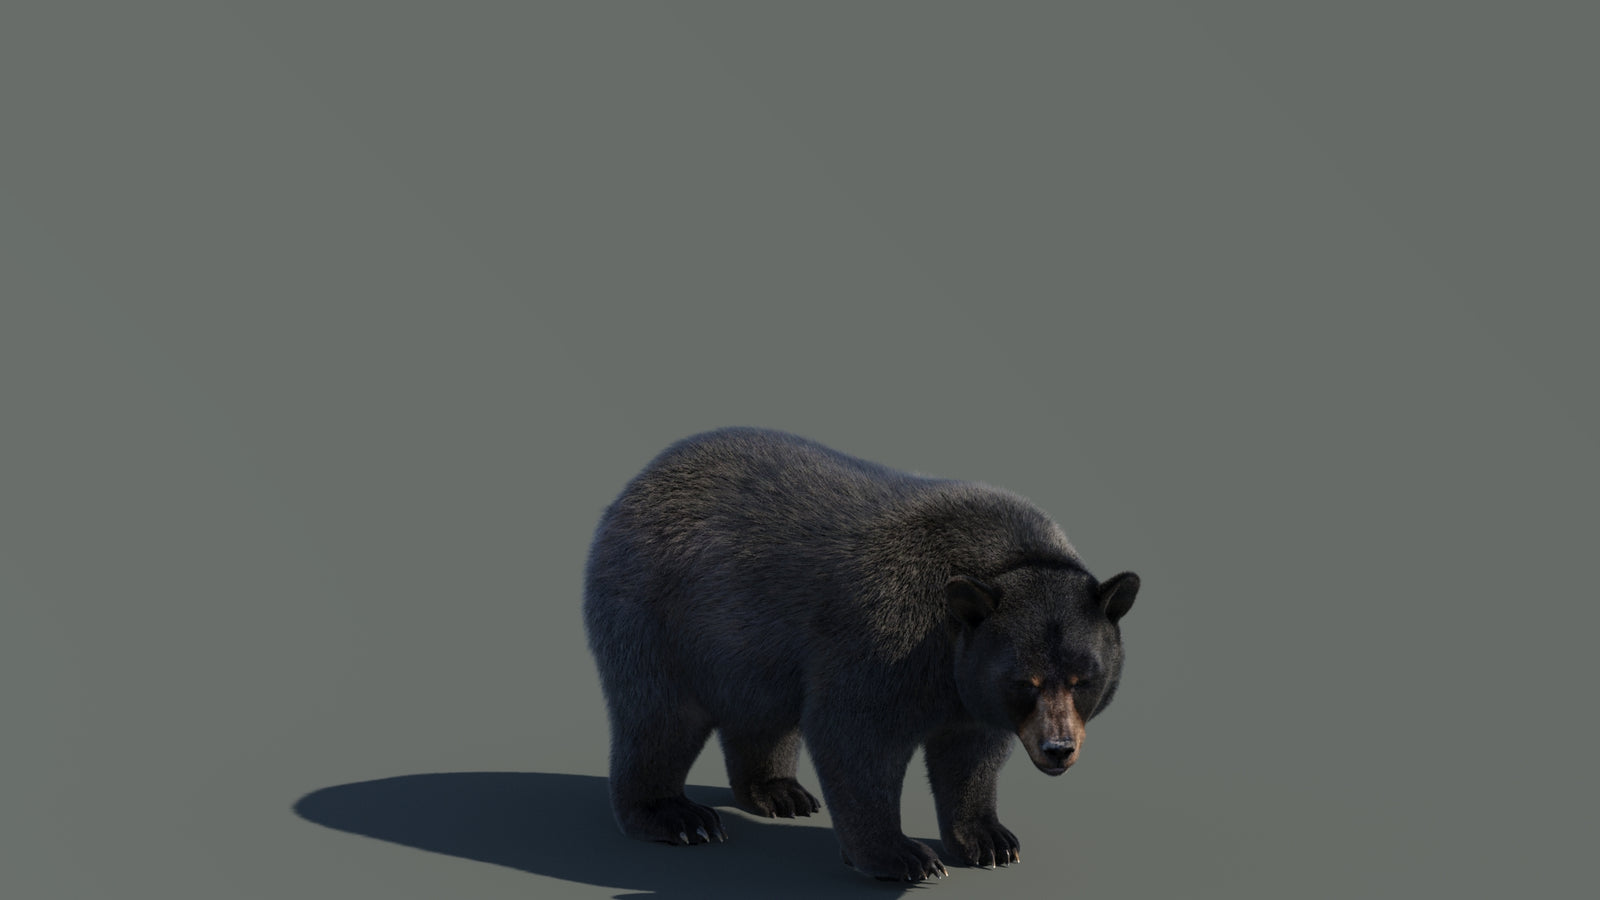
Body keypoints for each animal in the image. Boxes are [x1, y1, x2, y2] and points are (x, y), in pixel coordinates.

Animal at [582, 427, 1139, 882]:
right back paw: (676, 815)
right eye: (1026, 681)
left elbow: (970, 752)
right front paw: (901, 855)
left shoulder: (968, 687)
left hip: (747, 648)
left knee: (761, 713)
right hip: (658, 614)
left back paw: (779, 791)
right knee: (658, 716)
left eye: (1083, 678)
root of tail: (639, 481)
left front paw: (990, 839)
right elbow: (856, 734)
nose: (1058, 749)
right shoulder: (888, 635)